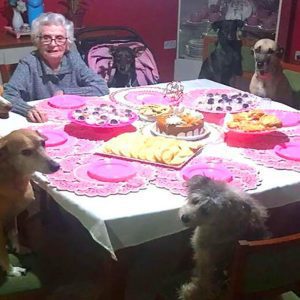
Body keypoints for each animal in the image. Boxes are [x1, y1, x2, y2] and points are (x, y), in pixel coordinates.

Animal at [0, 129, 59, 276]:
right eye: (26, 152)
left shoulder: (12, 214)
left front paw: (18, 248)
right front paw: (11, 271)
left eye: (43, 143)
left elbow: (14, 233)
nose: (56, 166)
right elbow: (2, 252)